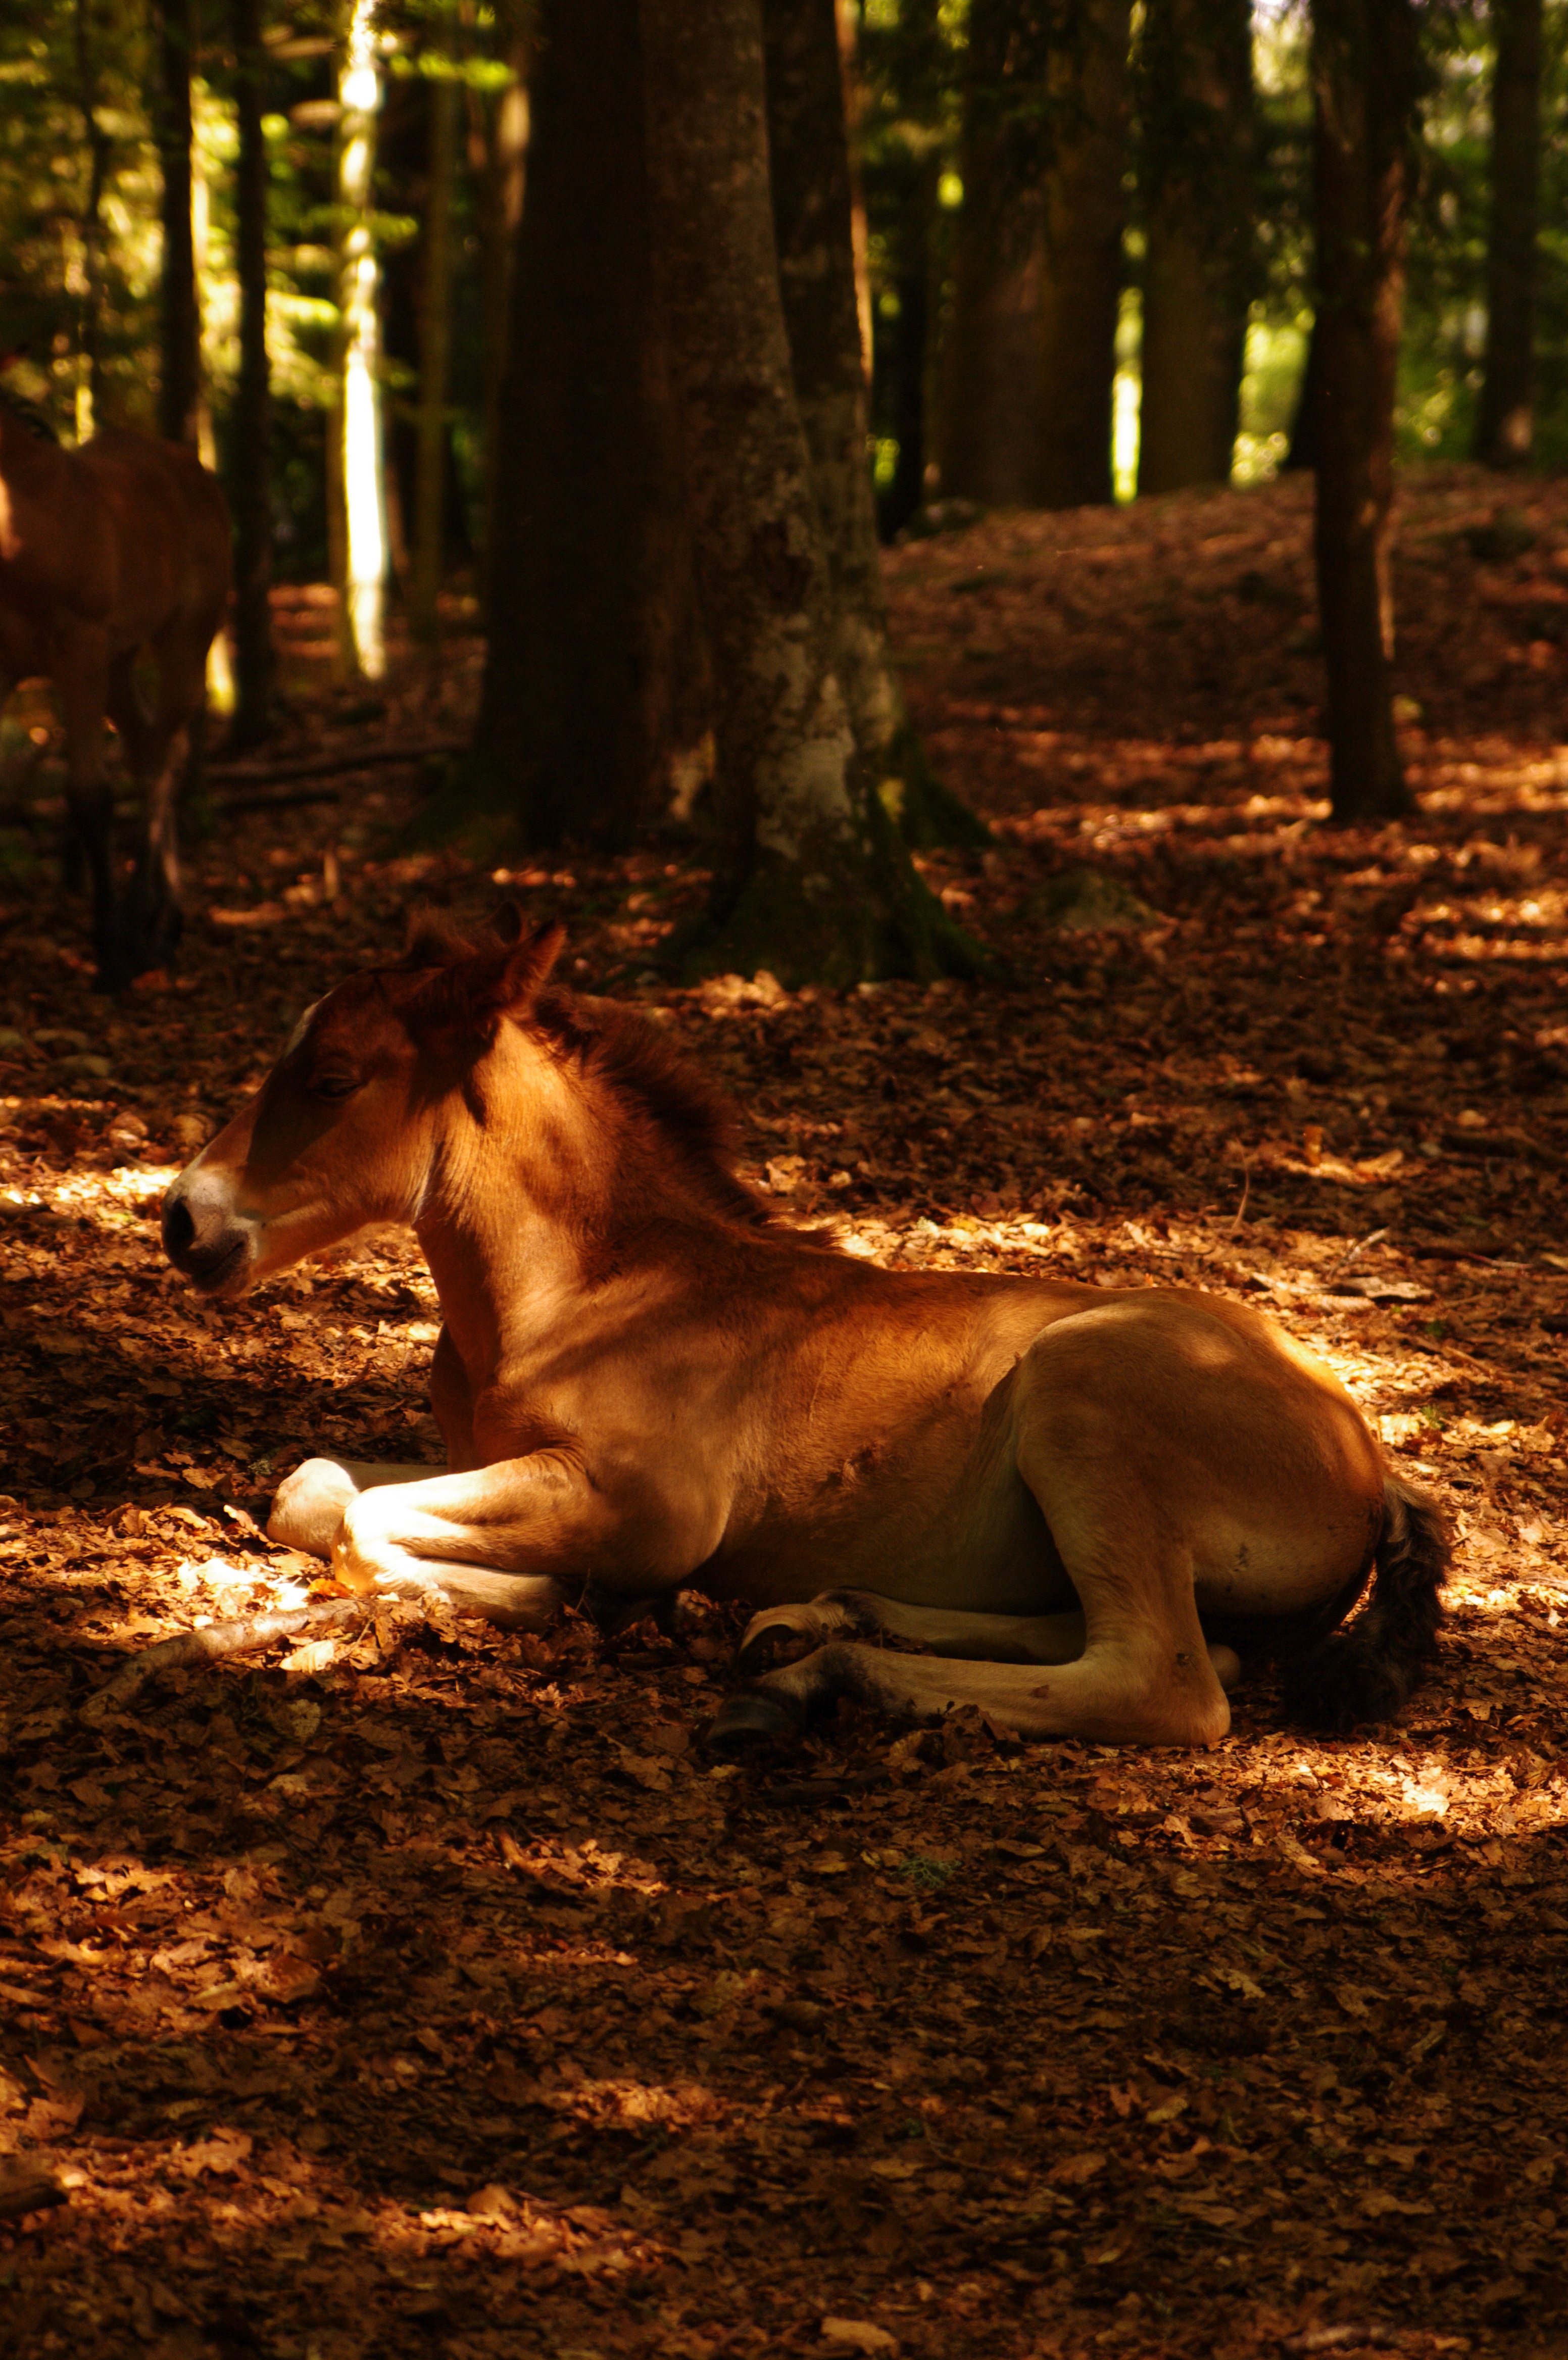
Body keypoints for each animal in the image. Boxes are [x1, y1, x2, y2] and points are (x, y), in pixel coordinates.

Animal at [0, 401, 231, 991]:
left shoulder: (78, 647)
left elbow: (89, 795)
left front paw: (110, 953)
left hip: (183, 640)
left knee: (160, 758)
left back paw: (152, 927)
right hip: (118, 662)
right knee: (148, 745)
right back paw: (158, 920)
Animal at [159, 915, 1445, 1755]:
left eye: (333, 1074)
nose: (185, 1219)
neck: (596, 1294)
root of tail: (1366, 1461)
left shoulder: (652, 1507)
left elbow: (363, 1522)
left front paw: (564, 1595)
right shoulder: (490, 1455)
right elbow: (314, 1490)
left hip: (1083, 1399)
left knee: (1163, 1678)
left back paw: (811, 1677)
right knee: (1153, 1640)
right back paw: (817, 1619)